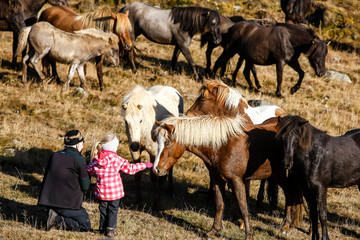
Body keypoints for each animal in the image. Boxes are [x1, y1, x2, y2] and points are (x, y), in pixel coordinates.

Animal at [151, 115, 300, 239]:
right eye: (158, 142)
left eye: (168, 143)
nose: (156, 169)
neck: (222, 145)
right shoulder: (217, 180)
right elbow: (219, 204)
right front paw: (214, 230)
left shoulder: (237, 181)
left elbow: (243, 208)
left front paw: (249, 234)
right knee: (290, 193)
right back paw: (288, 224)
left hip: (280, 174)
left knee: (290, 192)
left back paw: (286, 225)